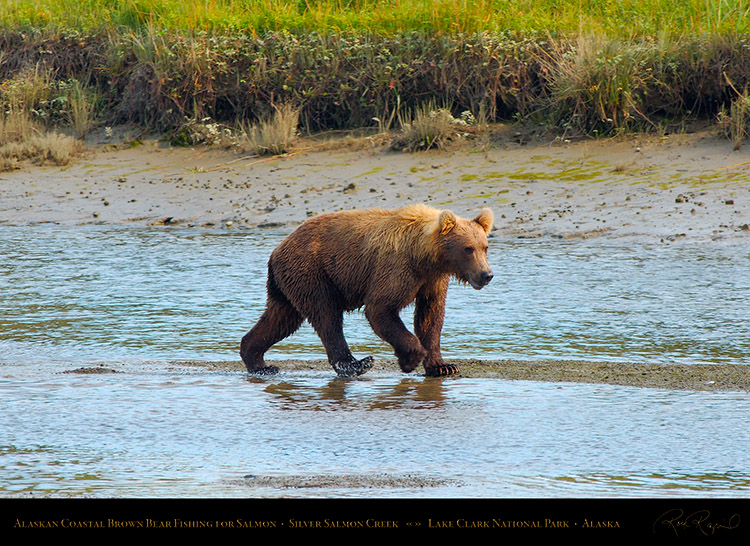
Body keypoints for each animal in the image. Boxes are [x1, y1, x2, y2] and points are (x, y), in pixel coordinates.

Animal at [241, 202, 496, 376]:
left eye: (484, 247)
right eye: (468, 248)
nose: (486, 275)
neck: (425, 256)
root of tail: (277, 250)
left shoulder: (432, 281)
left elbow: (430, 318)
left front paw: (443, 366)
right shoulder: (396, 269)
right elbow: (380, 309)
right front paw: (410, 359)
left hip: (288, 283)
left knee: (281, 319)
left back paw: (259, 362)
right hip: (311, 272)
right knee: (327, 316)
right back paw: (356, 364)